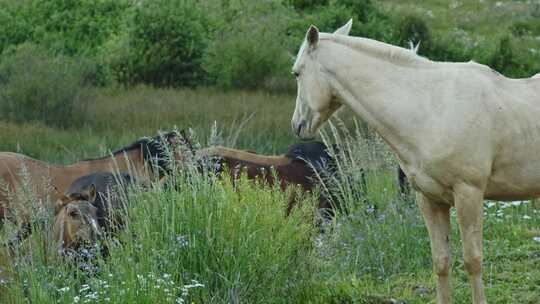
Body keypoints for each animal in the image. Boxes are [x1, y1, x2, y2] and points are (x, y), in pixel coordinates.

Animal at [288, 20, 540, 302]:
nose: (298, 125)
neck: (432, 109)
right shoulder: (430, 200)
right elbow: (441, 261)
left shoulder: (469, 194)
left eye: (297, 73)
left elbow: (473, 261)